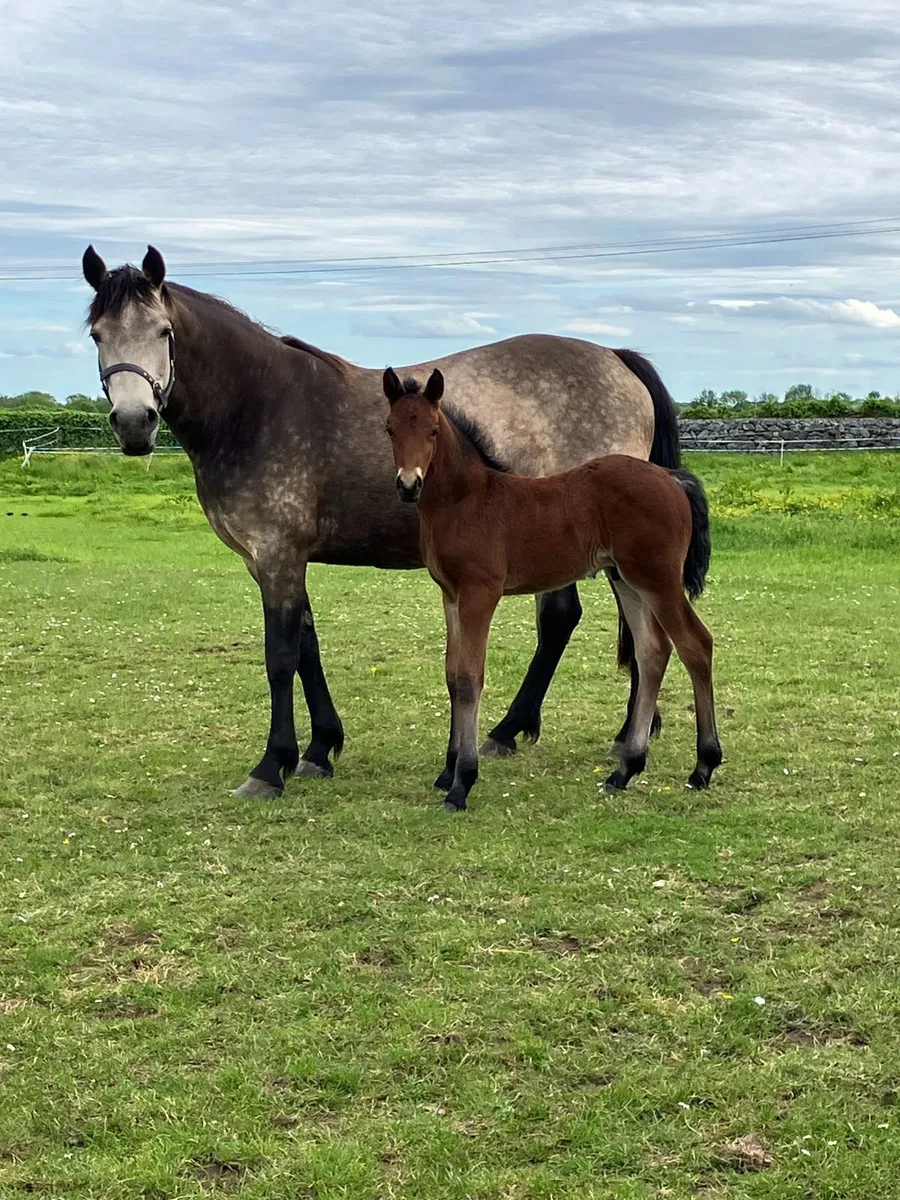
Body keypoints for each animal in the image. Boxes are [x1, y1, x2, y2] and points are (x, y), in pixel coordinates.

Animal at [81, 244, 683, 800]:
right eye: (97, 335)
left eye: (163, 331)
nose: (134, 423)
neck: (259, 405)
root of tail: (615, 358)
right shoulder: (272, 560)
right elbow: (307, 646)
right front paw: (319, 749)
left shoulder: (277, 555)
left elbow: (280, 658)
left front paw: (271, 767)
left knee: (597, 624)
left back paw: (534, 734)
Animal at [382, 366, 721, 812]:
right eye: (390, 429)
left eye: (433, 430)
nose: (408, 485)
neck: (465, 501)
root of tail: (670, 477)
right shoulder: (450, 596)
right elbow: (453, 676)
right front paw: (447, 772)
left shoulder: (479, 594)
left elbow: (471, 679)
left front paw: (462, 783)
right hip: (627, 579)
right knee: (652, 653)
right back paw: (624, 770)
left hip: (658, 579)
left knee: (695, 644)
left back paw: (703, 766)